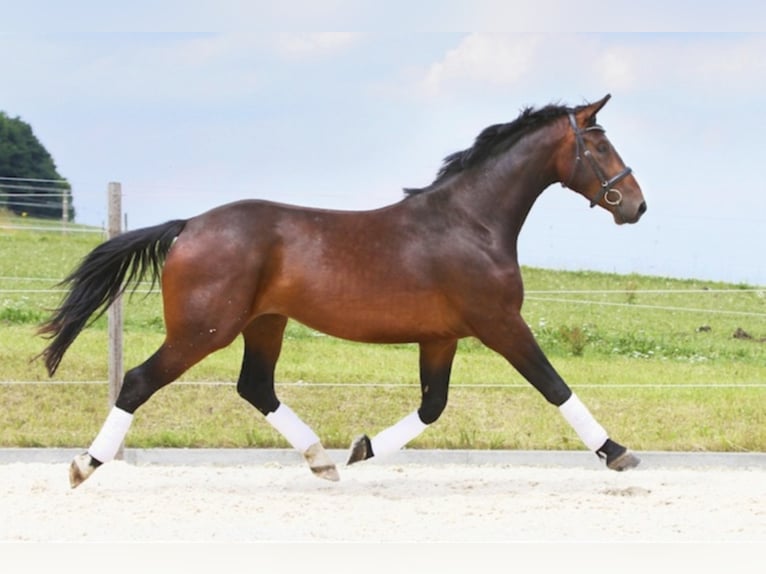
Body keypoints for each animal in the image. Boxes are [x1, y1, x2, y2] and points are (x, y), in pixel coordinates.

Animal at [37, 95, 648, 490]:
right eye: (600, 144)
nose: (637, 205)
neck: (470, 223)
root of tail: (188, 226)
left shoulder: (442, 337)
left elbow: (432, 407)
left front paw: (360, 449)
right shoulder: (500, 324)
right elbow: (554, 386)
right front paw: (618, 453)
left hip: (264, 324)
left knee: (256, 387)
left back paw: (320, 460)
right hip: (203, 330)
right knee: (139, 381)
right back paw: (84, 465)